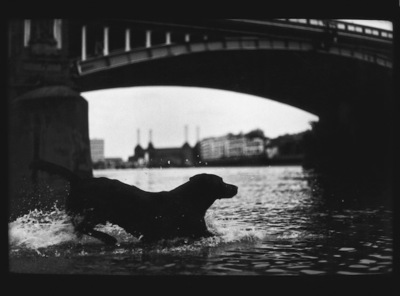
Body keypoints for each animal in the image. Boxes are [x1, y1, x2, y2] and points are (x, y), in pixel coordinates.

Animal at [31, 160, 239, 245]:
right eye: (221, 181)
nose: (235, 187)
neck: (189, 200)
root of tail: (79, 180)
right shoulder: (198, 230)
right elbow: (214, 234)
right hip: (95, 212)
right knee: (83, 226)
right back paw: (108, 238)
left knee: (78, 228)